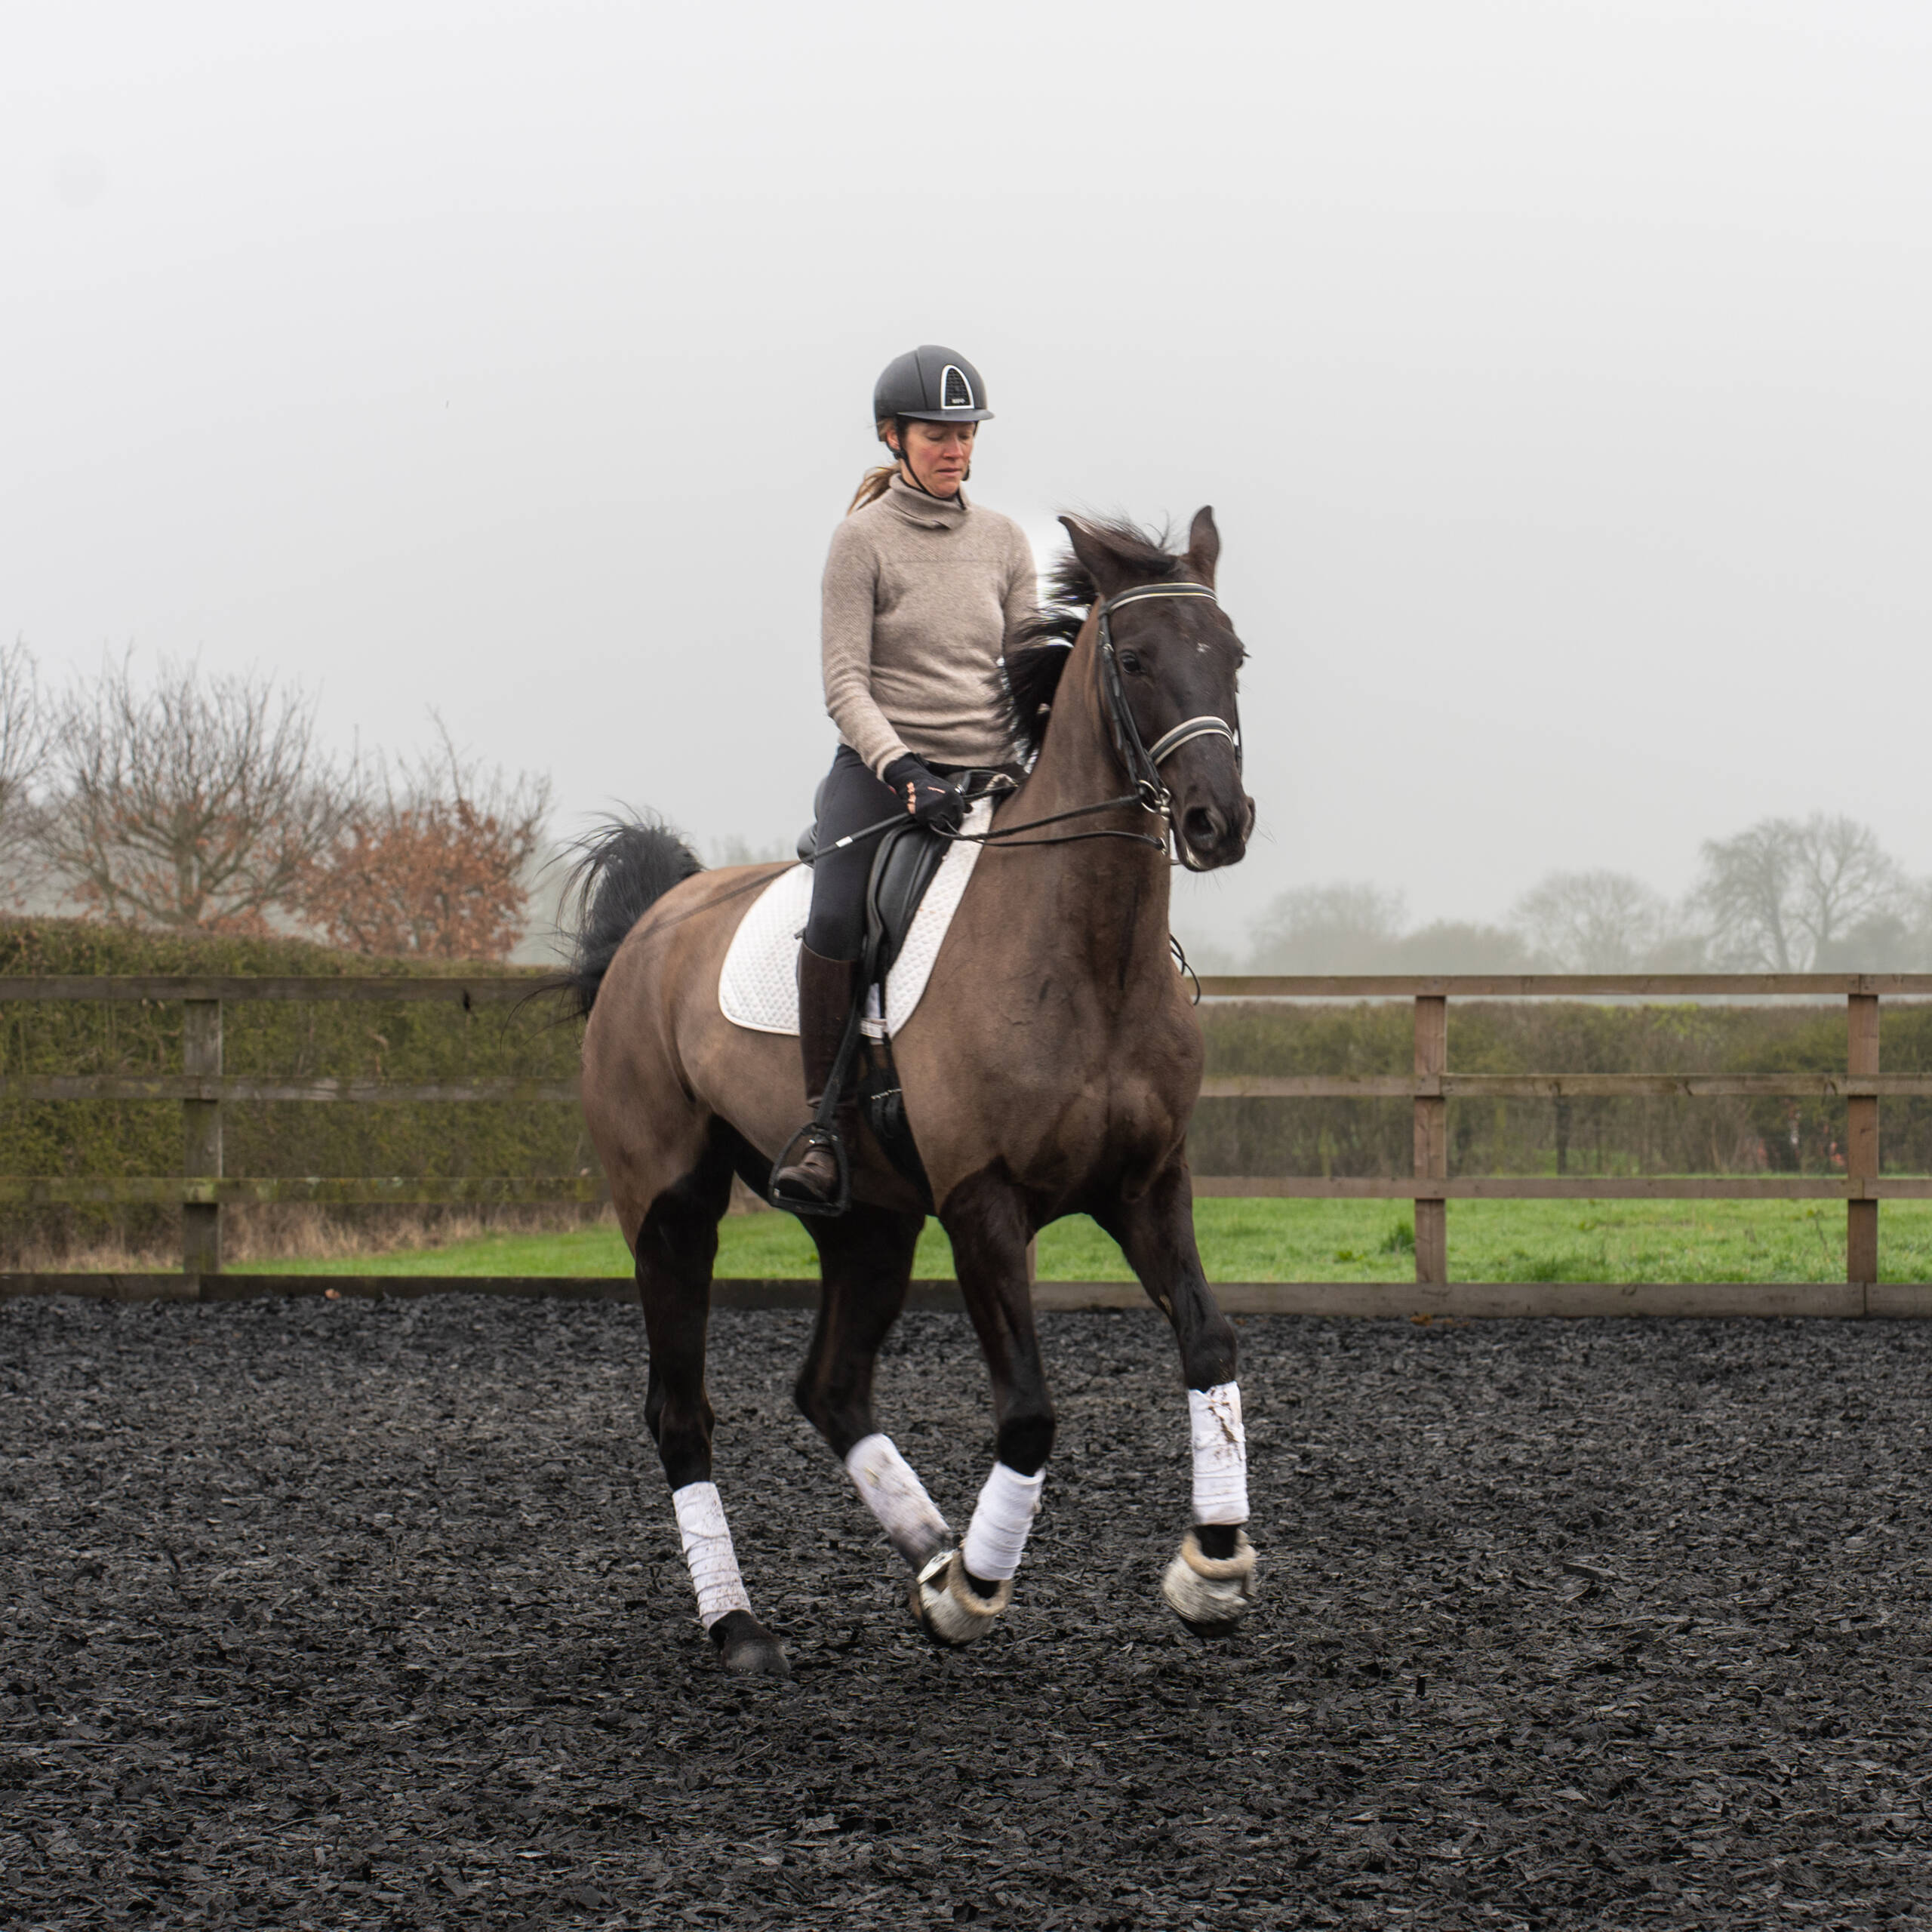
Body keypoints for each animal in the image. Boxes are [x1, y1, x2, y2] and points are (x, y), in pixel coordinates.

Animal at [561, 508, 1256, 1676]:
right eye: (1133, 659)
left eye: (1234, 656)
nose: (1219, 822)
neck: (1087, 953)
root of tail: (655, 924)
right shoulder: (984, 1204)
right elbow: (1028, 1412)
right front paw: (979, 1585)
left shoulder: (1148, 1186)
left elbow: (1208, 1345)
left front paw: (1209, 1567)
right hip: (671, 1211)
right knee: (681, 1415)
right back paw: (745, 1625)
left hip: (869, 1224)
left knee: (831, 1387)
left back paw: (927, 1552)